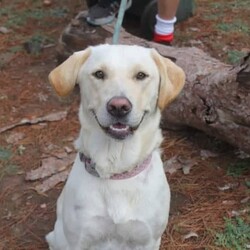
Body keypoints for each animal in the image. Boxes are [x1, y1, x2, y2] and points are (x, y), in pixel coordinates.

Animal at [46, 44, 185, 249]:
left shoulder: (147, 240)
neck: (117, 170)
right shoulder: (79, 240)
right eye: (99, 74)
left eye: (141, 75)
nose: (119, 106)